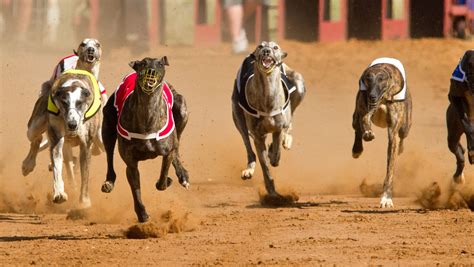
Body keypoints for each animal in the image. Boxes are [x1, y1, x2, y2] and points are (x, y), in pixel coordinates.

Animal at [22, 38, 105, 178]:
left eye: (97, 44)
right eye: (83, 44)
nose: (91, 49)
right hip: (34, 128)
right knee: (36, 139)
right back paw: (28, 164)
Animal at [47, 69, 102, 207]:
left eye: (79, 103)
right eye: (64, 102)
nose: (72, 124)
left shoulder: (86, 144)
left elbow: (85, 174)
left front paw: (84, 201)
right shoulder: (56, 137)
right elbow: (57, 166)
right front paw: (59, 193)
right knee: (68, 163)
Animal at [101, 57, 189, 223]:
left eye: (160, 64)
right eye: (143, 63)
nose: (151, 72)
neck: (147, 115)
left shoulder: (167, 152)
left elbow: (162, 180)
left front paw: (168, 180)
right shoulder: (131, 164)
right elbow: (136, 191)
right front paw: (142, 215)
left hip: (182, 109)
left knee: (177, 146)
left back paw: (183, 175)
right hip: (107, 126)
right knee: (109, 155)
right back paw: (108, 182)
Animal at [231, 41, 306, 201]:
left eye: (275, 47)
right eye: (260, 46)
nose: (266, 51)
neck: (267, 96)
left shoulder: (278, 128)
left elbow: (276, 152)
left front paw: (274, 151)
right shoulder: (258, 136)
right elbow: (265, 166)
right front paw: (271, 192)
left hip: (299, 84)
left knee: (290, 123)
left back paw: (286, 140)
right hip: (237, 116)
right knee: (249, 147)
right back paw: (249, 169)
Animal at [350, 58, 412, 209]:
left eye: (381, 79)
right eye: (368, 78)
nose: (372, 96)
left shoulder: (393, 131)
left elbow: (390, 169)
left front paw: (386, 198)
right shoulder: (364, 107)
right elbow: (364, 121)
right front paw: (368, 134)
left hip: (406, 126)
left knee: (402, 137)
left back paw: (401, 148)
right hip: (356, 115)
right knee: (356, 126)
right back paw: (357, 149)